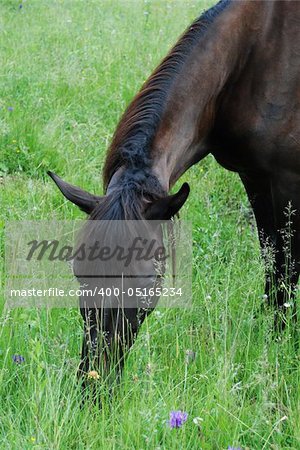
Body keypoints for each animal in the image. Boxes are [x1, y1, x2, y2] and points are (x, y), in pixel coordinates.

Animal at [48, 0, 300, 386]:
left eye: (146, 281)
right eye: (80, 272)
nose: (95, 384)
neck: (256, 54)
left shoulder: (286, 181)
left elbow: (287, 270)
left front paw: (280, 337)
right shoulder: (256, 177)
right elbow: (271, 262)